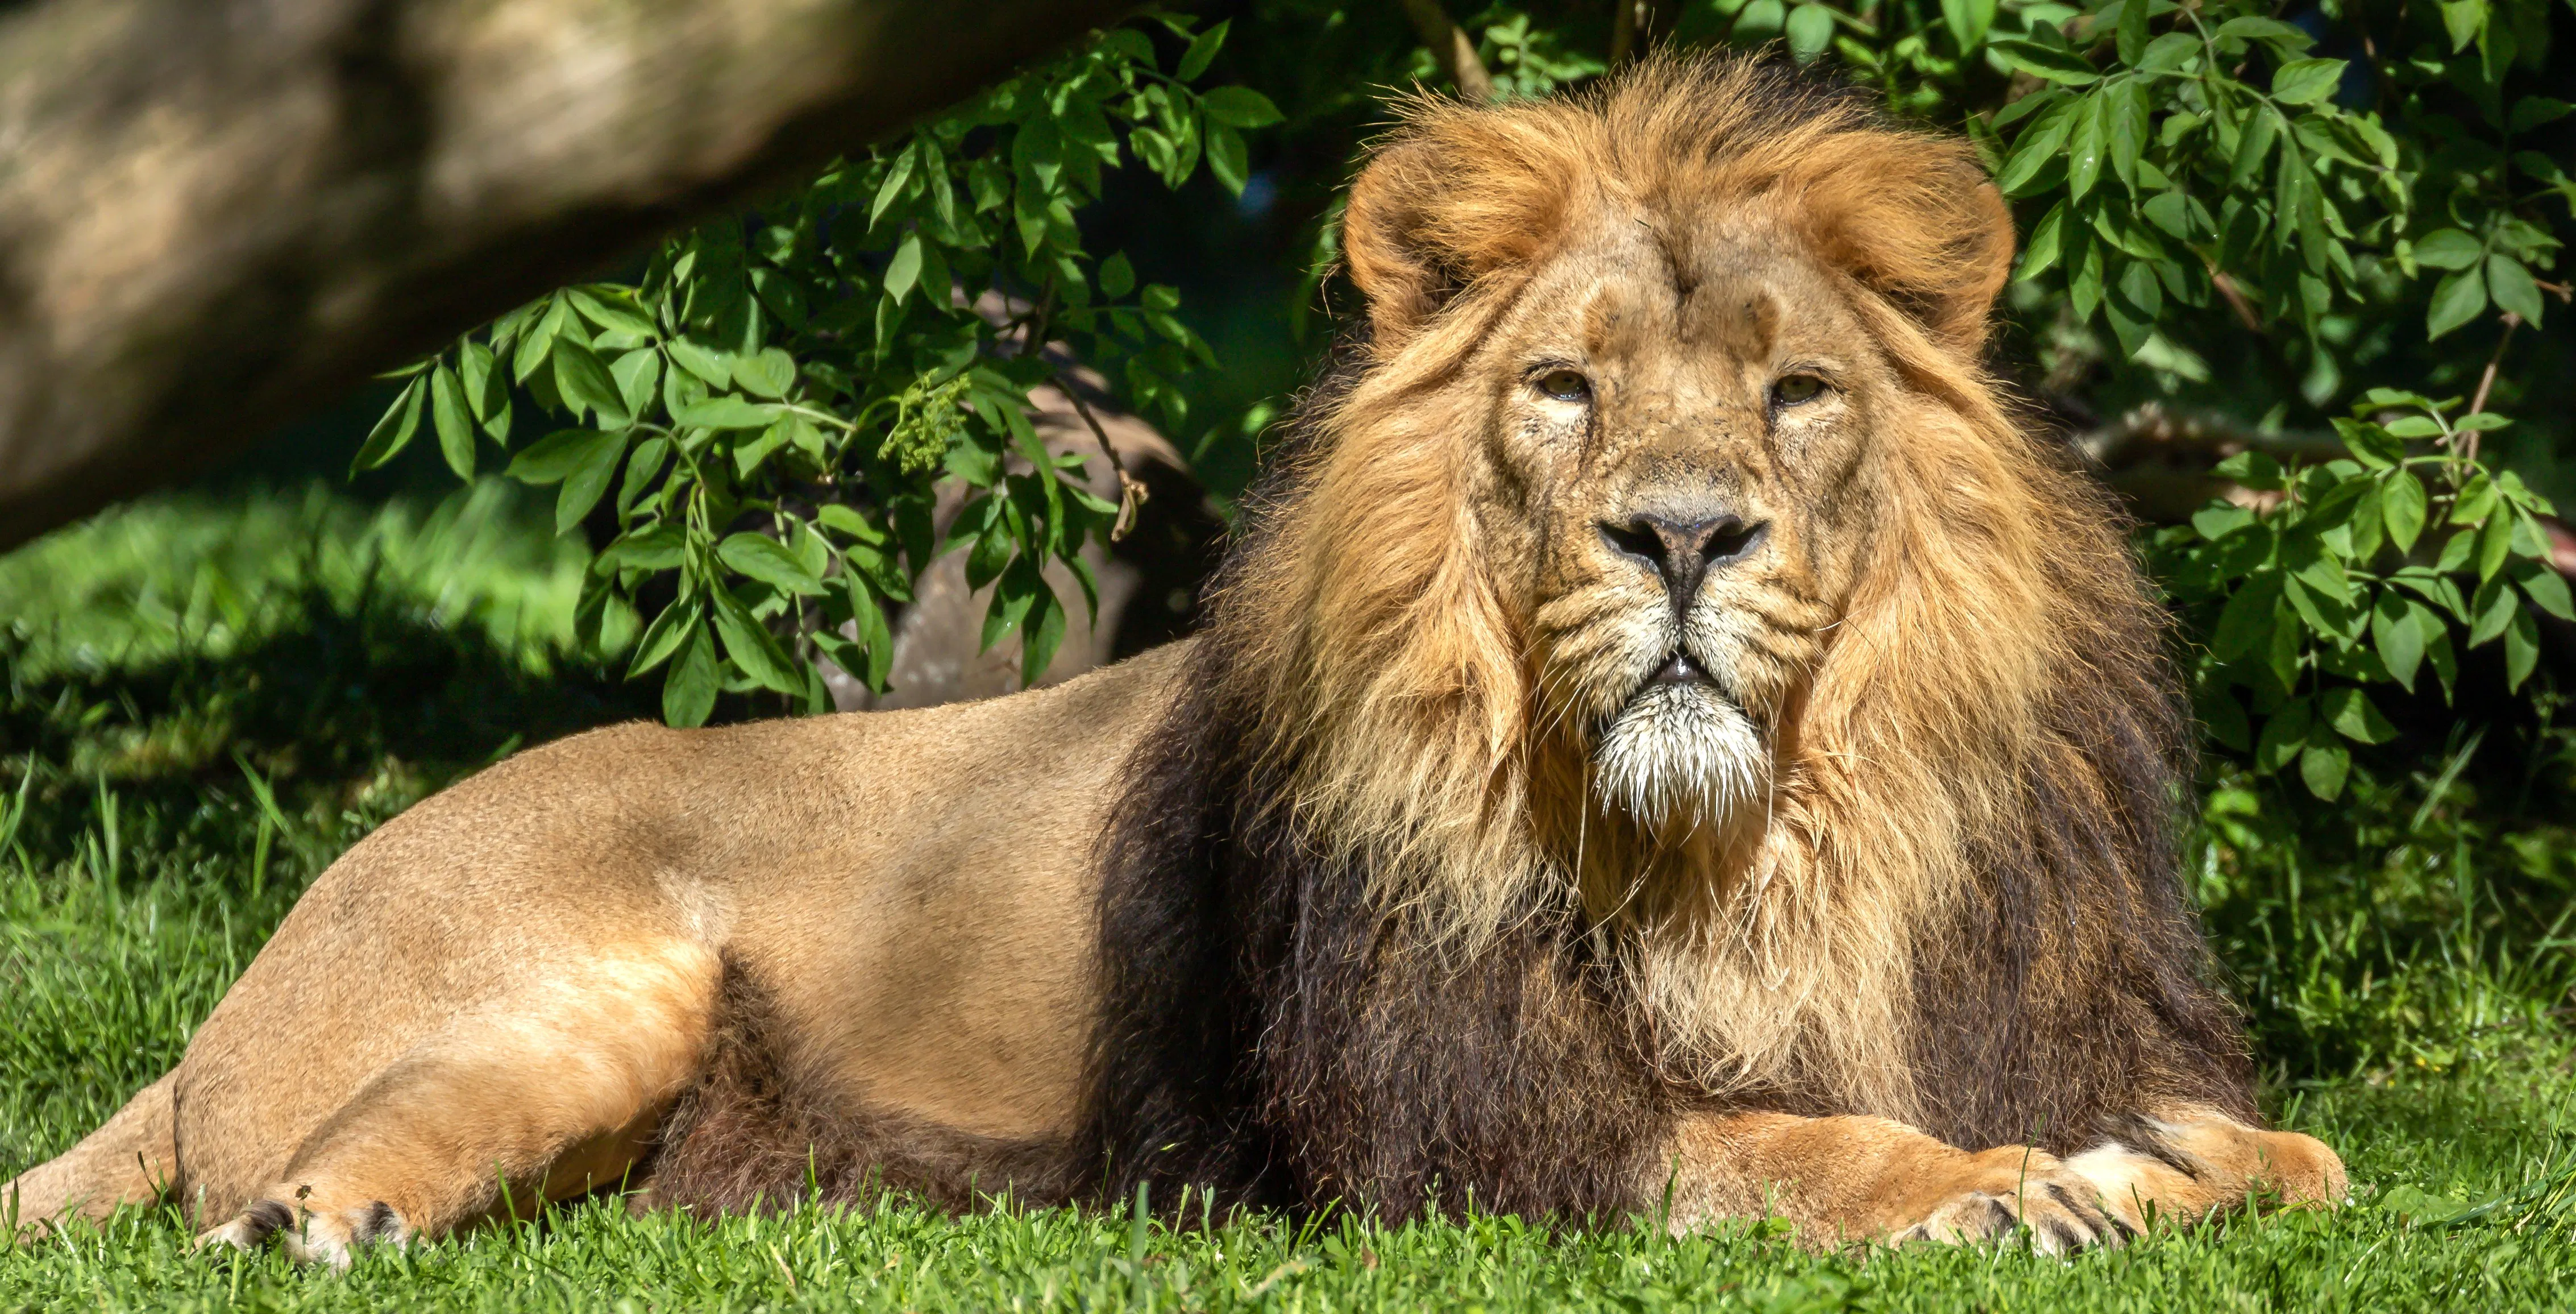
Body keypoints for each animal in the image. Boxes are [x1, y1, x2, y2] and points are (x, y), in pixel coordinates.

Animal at [7, 56, 2343, 1264]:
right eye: (1567, 389)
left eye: (1795, 395)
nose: (1681, 534)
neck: (1761, 839)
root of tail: (235, 993)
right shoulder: (1461, 1130)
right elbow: (1793, 1145)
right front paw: (2010, 1191)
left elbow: (2284, 1150)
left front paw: (2176, 1163)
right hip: (582, 977)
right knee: (299, 1163)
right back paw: (316, 1227)